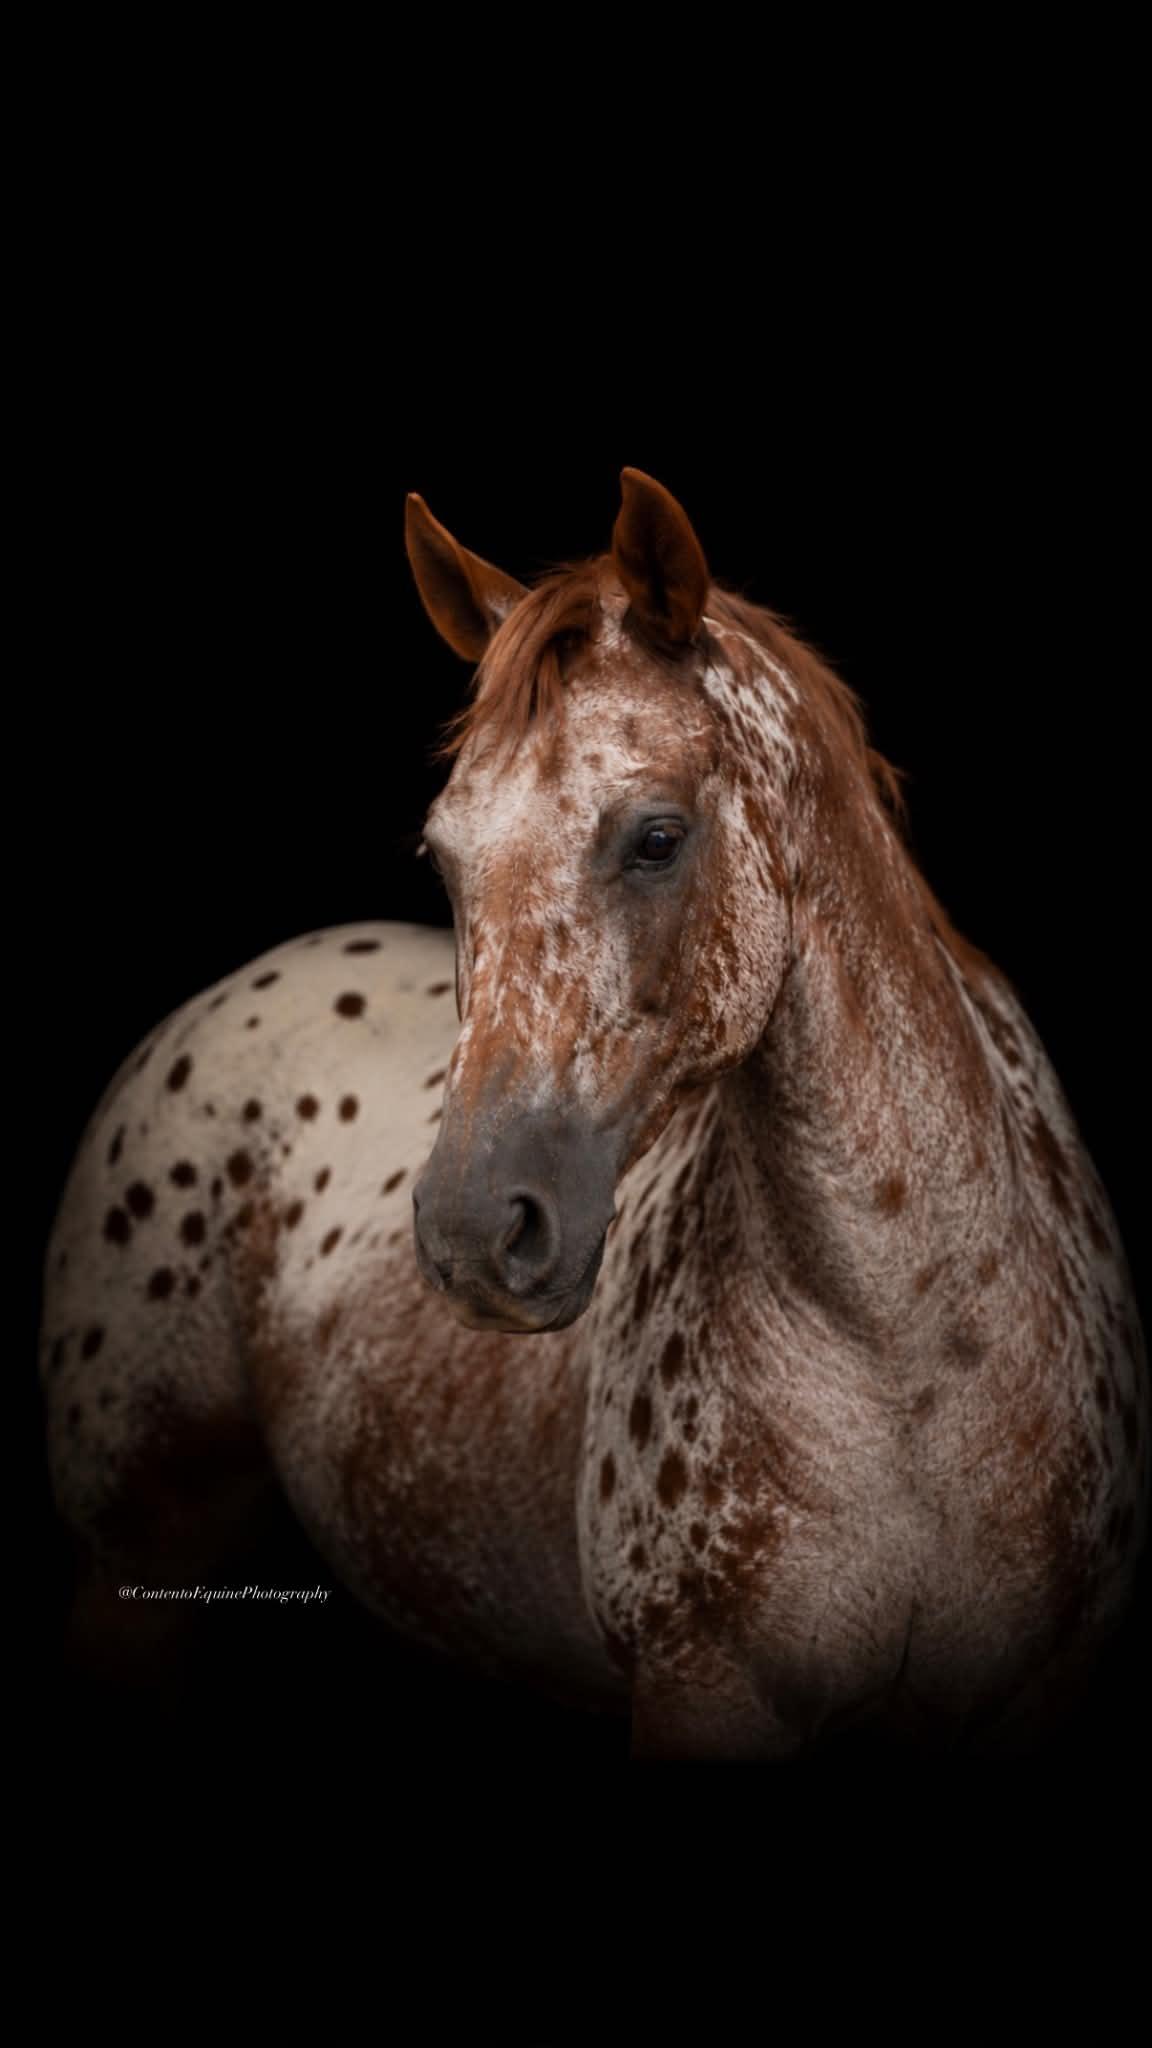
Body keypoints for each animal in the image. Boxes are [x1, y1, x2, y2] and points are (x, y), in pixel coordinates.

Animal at [37, 466, 1148, 1759]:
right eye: (442, 854)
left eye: (657, 836)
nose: (475, 1234)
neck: (913, 1349)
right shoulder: (702, 1694)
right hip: (129, 1583)